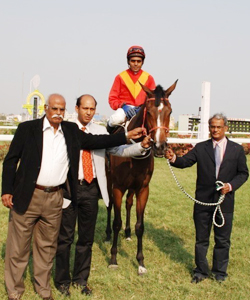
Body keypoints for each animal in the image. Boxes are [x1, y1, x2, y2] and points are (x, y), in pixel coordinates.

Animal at [105, 79, 178, 274]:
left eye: (169, 111)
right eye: (149, 111)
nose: (160, 146)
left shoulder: (143, 189)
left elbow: (140, 226)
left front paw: (140, 261)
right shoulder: (117, 187)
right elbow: (116, 221)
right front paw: (113, 258)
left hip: (132, 188)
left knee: (129, 203)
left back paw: (128, 232)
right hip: (108, 181)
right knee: (109, 206)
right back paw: (107, 234)